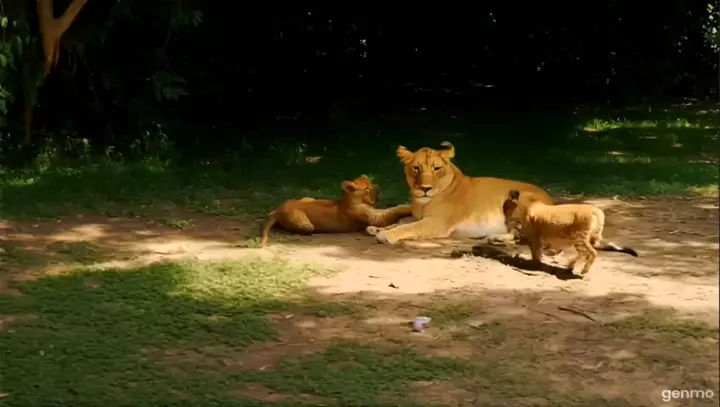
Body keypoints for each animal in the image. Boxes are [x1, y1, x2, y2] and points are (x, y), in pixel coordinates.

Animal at [260, 175, 413, 246]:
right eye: (367, 188)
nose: (378, 187)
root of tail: (277, 210)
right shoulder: (374, 217)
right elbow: (394, 209)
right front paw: (409, 205)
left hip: (307, 198)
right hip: (305, 224)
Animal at [368, 141, 555, 245]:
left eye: (436, 168)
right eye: (416, 168)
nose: (425, 189)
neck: (421, 202)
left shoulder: (437, 223)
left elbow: (408, 227)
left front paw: (385, 234)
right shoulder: (418, 217)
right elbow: (402, 221)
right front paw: (377, 228)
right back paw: (494, 238)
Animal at [503, 189, 638, 276]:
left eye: (505, 207)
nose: (504, 217)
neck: (530, 204)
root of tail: (597, 210)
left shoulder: (535, 239)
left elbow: (535, 254)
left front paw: (534, 266)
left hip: (579, 238)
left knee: (590, 253)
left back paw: (583, 271)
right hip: (584, 239)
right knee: (585, 253)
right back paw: (571, 266)